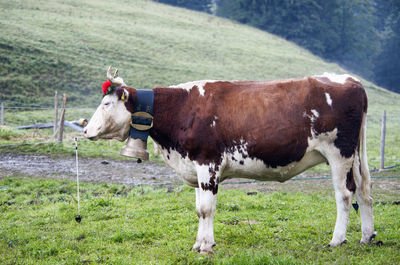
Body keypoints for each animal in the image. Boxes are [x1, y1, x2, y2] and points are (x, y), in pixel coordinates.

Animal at [83, 67, 376, 253]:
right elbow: (198, 208)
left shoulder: (208, 163)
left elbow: (206, 209)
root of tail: (352, 80)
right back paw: (367, 237)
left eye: (107, 104)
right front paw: (198, 243)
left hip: (339, 153)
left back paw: (337, 240)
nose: (85, 130)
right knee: (364, 190)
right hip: (355, 157)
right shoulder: (195, 167)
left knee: (345, 194)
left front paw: (205, 246)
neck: (183, 110)